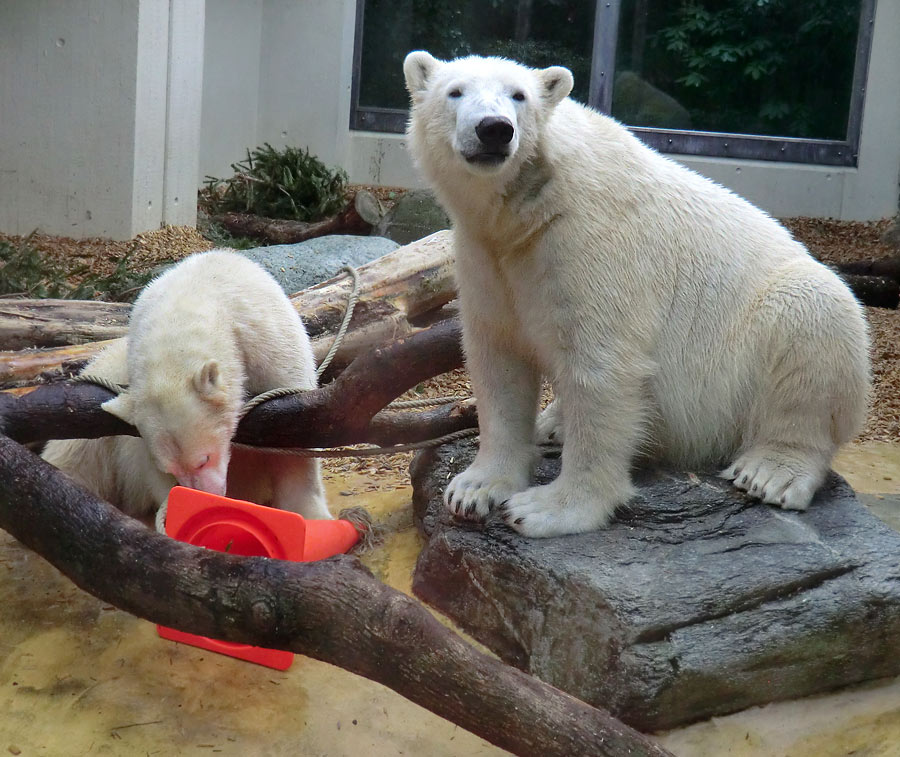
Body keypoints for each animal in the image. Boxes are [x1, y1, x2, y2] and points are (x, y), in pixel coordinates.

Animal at [41, 251, 330, 524]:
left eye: (204, 459)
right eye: (172, 470)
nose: (210, 494)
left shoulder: (268, 340)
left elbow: (296, 440)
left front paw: (311, 513)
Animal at [404, 50, 868, 536]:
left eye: (519, 96)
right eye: (455, 92)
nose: (494, 128)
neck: (529, 208)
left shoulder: (591, 243)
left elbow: (601, 367)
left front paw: (547, 509)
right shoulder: (485, 254)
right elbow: (499, 360)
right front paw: (473, 488)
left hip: (770, 333)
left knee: (813, 325)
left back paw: (771, 472)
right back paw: (553, 423)